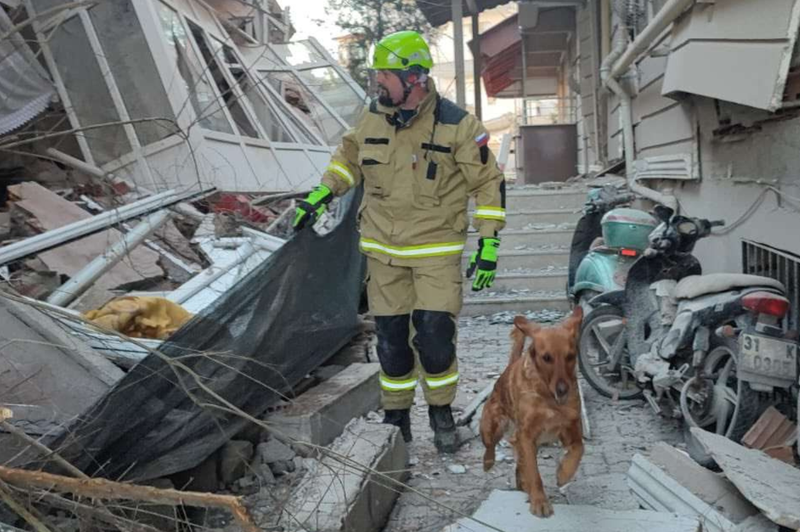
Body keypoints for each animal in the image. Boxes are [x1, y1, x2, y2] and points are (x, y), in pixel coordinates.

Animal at [478, 306, 584, 516]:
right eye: (547, 357)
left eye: (570, 356)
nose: (563, 390)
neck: (549, 398)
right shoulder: (526, 435)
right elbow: (534, 473)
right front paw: (540, 501)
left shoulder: (572, 429)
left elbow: (578, 450)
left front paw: (563, 473)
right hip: (493, 425)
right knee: (490, 446)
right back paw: (489, 462)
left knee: (520, 467)